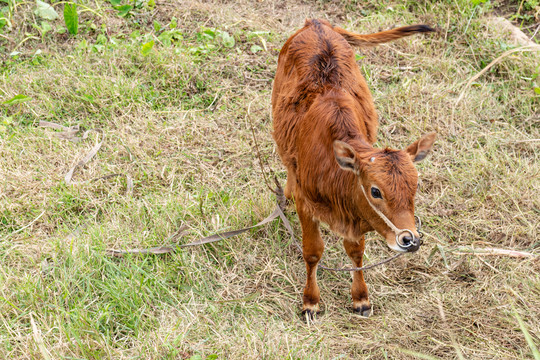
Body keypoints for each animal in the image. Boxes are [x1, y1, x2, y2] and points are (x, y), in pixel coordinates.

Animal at [272, 19, 436, 318]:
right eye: (375, 191)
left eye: (415, 187)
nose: (410, 240)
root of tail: (316, 23)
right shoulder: (306, 204)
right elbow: (312, 251)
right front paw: (310, 301)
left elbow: (356, 251)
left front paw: (361, 298)